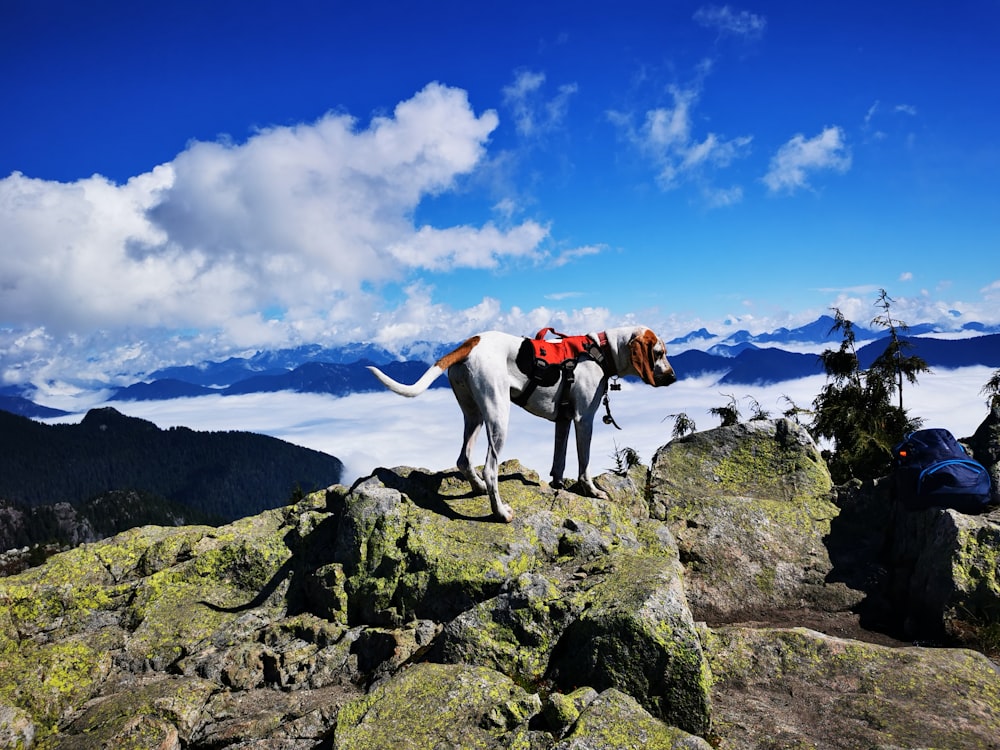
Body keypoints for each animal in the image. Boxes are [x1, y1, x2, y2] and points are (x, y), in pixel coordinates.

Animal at [368, 326, 680, 524]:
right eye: (659, 353)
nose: (674, 377)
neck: (600, 351)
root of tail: (472, 341)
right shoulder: (583, 420)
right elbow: (584, 465)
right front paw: (592, 491)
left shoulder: (563, 421)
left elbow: (559, 460)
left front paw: (557, 484)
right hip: (498, 415)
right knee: (490, 469)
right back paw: (500, 513)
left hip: (474, 415)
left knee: (464, 459)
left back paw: (478, 487)